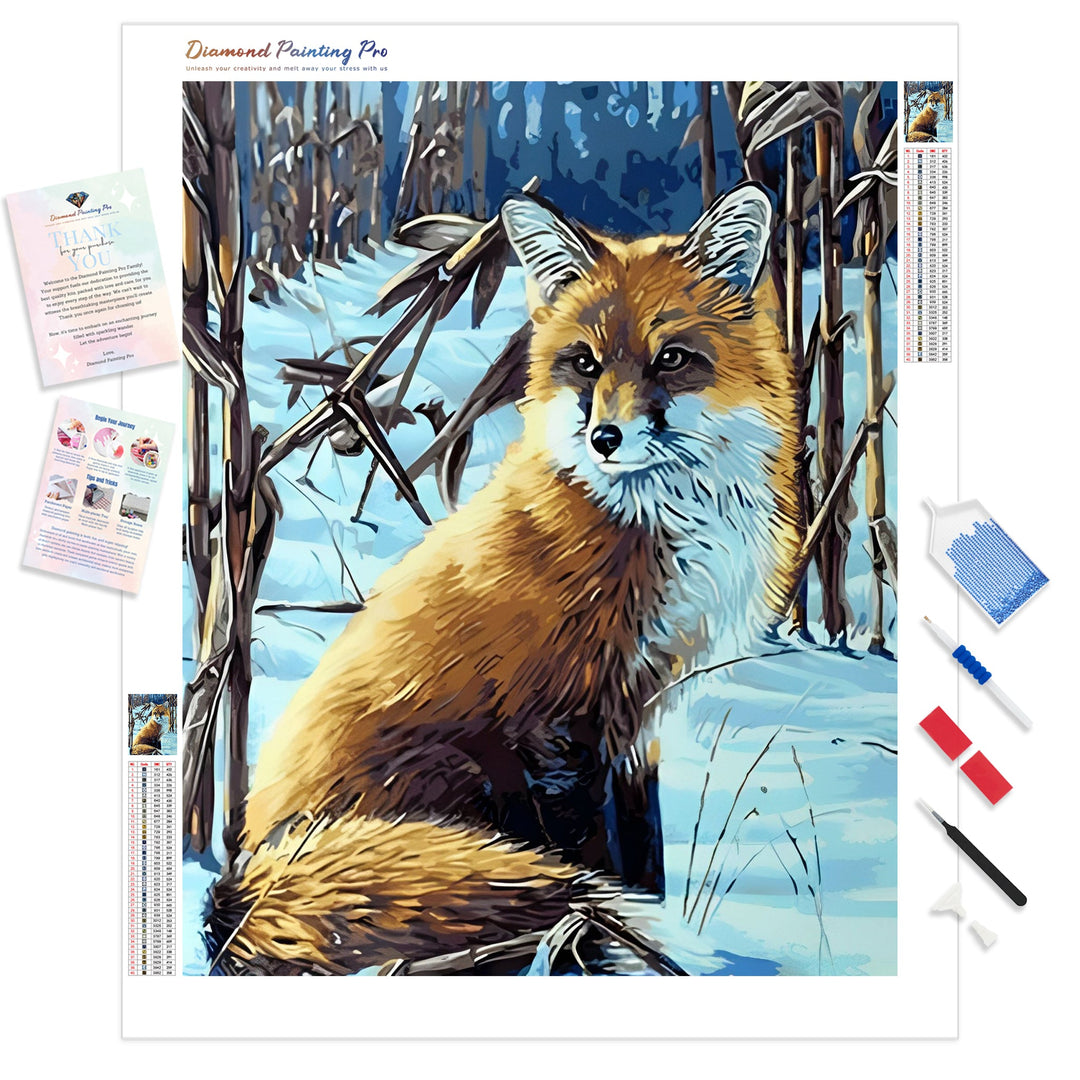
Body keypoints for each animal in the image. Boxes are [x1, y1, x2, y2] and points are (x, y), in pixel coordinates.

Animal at [205, 182, 804, 975]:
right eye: (584, 364)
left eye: (672, 359)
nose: (605, 438)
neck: (657, 521)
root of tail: (238, 886)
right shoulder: (559, 721)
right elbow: (597, 858)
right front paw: (614, 945)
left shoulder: (639, 718)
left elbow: (645, 857)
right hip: (461, 774)